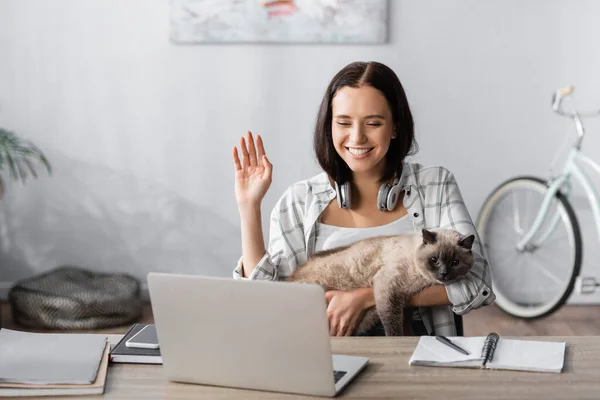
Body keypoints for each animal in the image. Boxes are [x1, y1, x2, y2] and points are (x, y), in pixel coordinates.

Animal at [286, 227, 474, 336]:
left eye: (455, 263)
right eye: (434, 260)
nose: (443, 274)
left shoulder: (403, 298)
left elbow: (403, 321)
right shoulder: (389, 288)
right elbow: (392, 325)